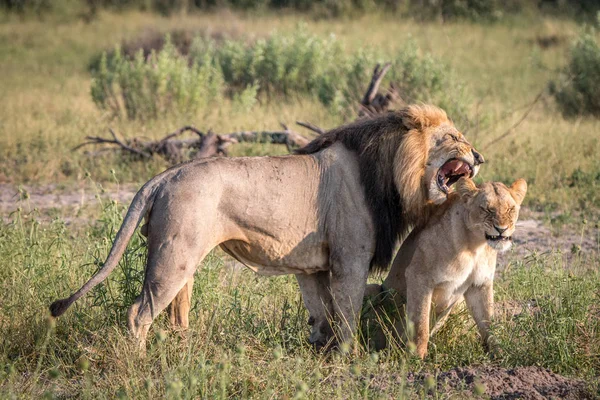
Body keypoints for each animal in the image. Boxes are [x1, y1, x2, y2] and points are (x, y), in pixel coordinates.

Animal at [50, 105, 482, 350]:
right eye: (455, 138)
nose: (478, 156)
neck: (393, 172)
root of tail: (167, 174)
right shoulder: (350, 259)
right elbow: (346, 313)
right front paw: (351, 357)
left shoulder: (313, 265)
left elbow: (321, 313)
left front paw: (319, 352)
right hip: (174, 254)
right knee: (138, 313)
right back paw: (141, 365)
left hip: (180, 256)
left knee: (176, 314)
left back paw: (183, 354)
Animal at [366, 177, 524, 358]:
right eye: (486, 209)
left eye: (511, 209)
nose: (501, 229)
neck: (476, 246)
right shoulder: (418, 276)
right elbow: (421, 323)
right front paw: (417, 358)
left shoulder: (479, 284)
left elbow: (488, 323)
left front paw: (499, 353)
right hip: (372, 290)